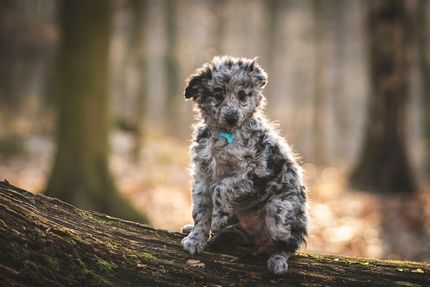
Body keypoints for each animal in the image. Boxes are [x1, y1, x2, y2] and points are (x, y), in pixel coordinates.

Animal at [181, 55, 310, 274]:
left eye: (242, 95)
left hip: (281, 211)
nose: (232, 117)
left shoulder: (257, 170)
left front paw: (218, 217)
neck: (226, 135)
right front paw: (196, 237)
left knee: (289, 244)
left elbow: (221, 187)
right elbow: (201, 209)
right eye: (218, 95)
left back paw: (278, 260)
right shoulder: (202, 173)